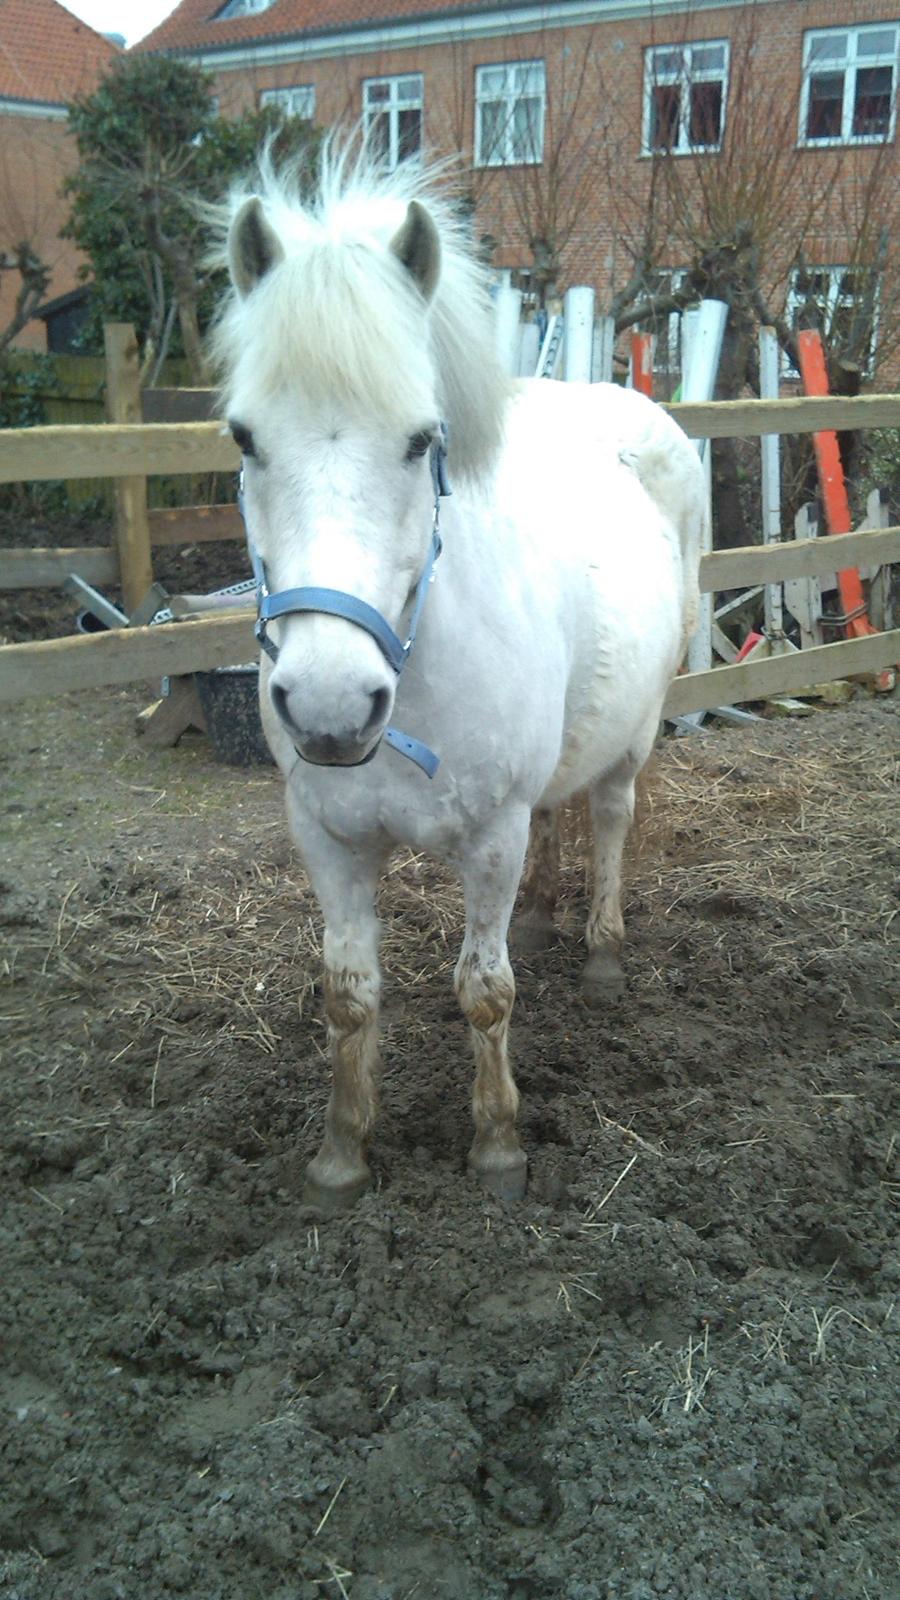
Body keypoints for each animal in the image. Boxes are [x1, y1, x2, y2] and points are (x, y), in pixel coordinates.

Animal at [211, 150, 707, 1210]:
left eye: (418, 439)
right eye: (244, 438)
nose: (329, 705)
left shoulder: (489, 840)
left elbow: (486, 991)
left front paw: (497, 1148)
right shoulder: (329, 840)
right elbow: (349, 997)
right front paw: (341, 1154)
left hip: (642, 723)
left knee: (609, 814)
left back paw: (600, 947)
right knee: (563, 810)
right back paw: (554, 914)